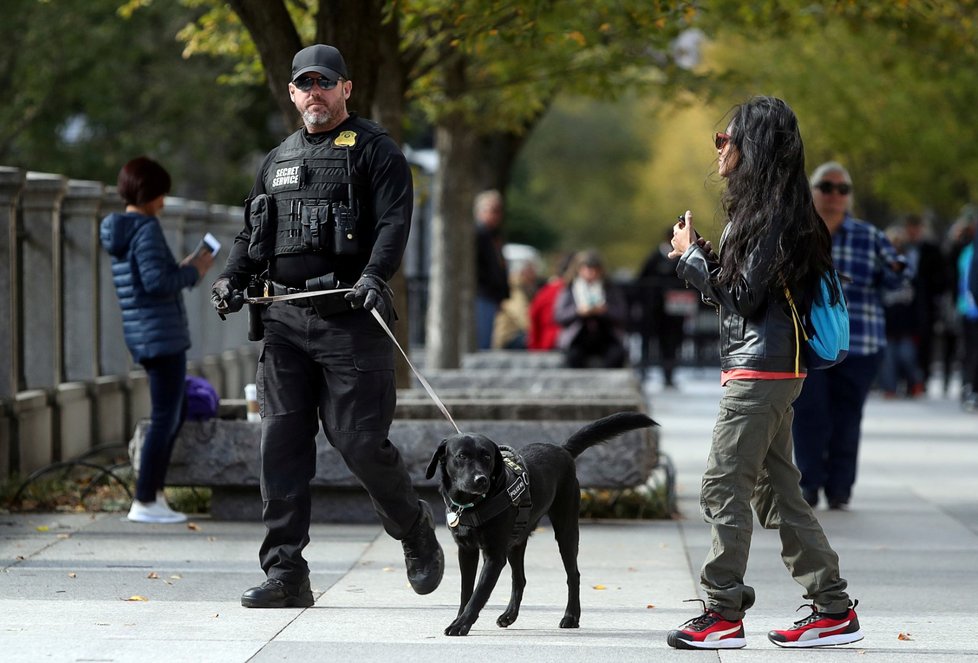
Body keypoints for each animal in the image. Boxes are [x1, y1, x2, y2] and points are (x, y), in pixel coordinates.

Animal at [426, 412, 656, 636]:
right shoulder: (466, 551)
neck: (473, 505)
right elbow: (466, 591)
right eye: (461, 456)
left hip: (566, 530)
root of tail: (562, 449)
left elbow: (479, 593)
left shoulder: (494, 556)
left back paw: (571, 617)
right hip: (517, 541)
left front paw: (461, 625)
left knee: (573, 575)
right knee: (520, 579)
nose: (480, 480)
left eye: (487, 457)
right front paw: (459, 619)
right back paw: (510, 615)